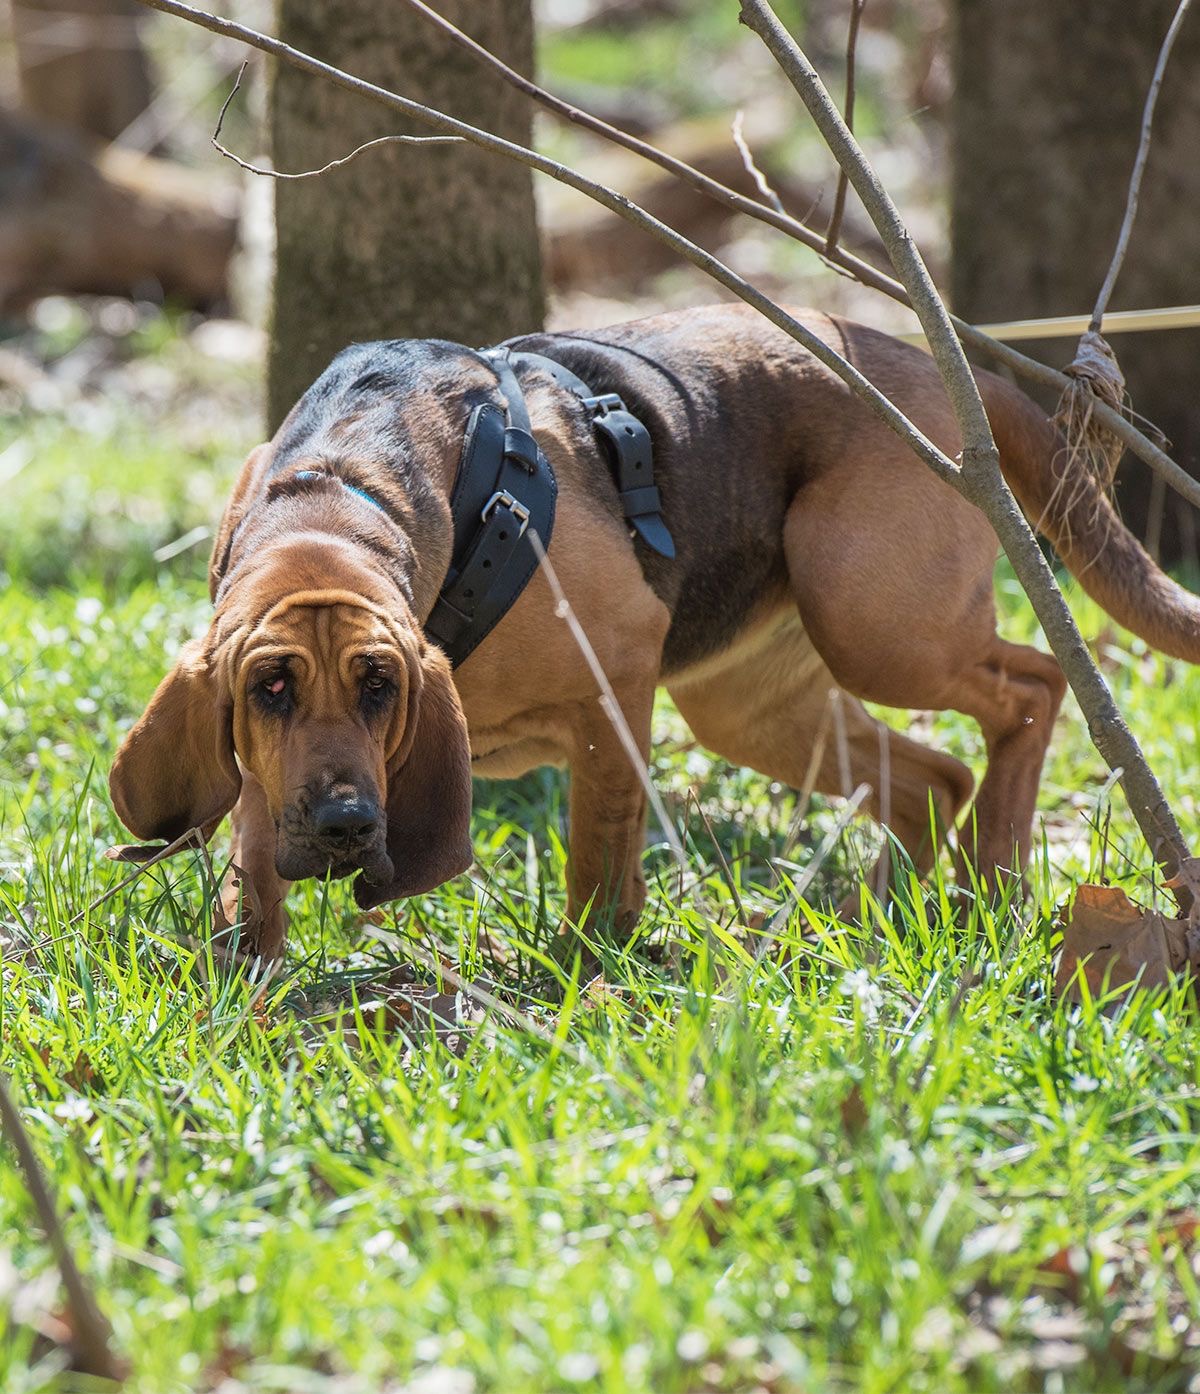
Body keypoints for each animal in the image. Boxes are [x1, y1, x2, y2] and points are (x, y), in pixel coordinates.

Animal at [108, 305, 1193, 959]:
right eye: (270, 691)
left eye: (382, 688)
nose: (343, 826)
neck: (338, 487)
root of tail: (918, 356)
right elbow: (251, 858)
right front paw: (246, 970)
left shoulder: (612, 691)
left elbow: (598, 854)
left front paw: (585, 969)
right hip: (751, 705)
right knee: (933, 780)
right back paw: (886, 913)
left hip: (877, 625)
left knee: (1034, 686)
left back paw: (994, 873)